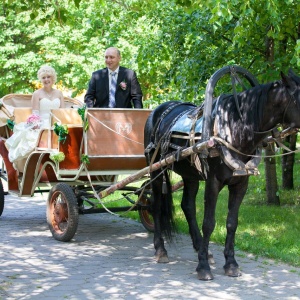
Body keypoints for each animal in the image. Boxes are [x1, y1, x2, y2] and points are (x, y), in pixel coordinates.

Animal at [144, 69, 300, 280]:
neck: (233, 129)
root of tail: (156, 111)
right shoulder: (213, 182)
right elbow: (209, 223)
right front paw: (203, 267)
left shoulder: (241, 184)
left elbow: (232, 222)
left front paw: (231, 263)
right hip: (155, 170)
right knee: (156, 205)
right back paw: (161, 250)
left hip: (190, 174)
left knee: (187, 206)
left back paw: (201, 247)